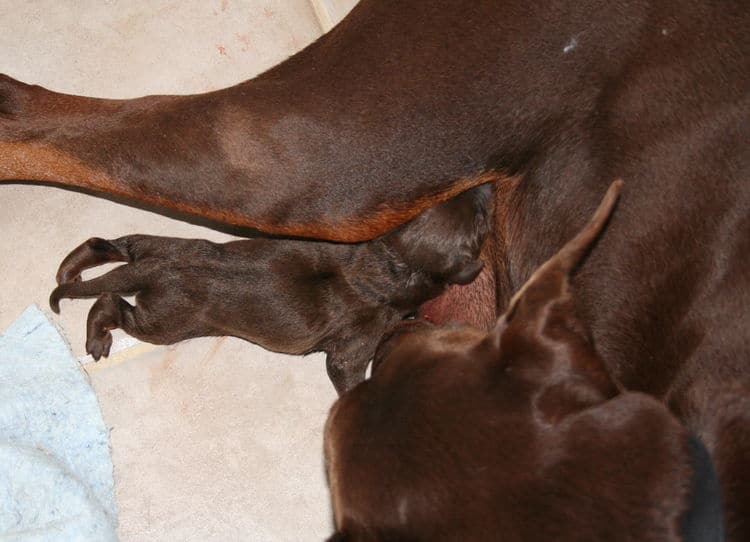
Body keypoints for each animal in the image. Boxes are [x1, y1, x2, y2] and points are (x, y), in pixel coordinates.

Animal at [48, 185, 494, 394]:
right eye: (482, 218)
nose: (487, 185)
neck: (388, 260)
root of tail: (156, 266)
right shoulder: (356, 343)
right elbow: (346, 370)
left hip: (156, 244)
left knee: (107, 244)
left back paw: (69, 270)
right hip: (166, 320)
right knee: (110, 303)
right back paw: (97, 339)